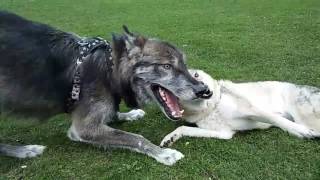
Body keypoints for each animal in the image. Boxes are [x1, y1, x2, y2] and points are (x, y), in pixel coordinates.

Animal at [160, 69, 320, 146]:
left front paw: (302, 131)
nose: (204, 89)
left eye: (196, 75)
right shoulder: (224, 133)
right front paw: (169, 138)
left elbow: (277, 119)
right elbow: (184, 128)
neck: (212, 107)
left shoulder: (251, 110)